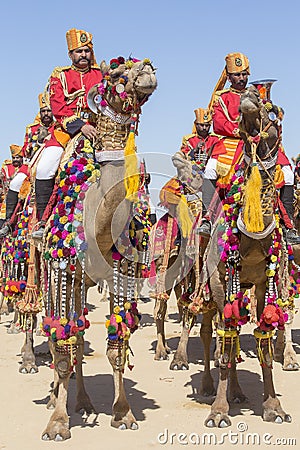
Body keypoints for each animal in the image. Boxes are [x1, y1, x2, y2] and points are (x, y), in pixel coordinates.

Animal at [34, 56, 157, 440]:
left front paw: (123, 413)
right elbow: (61, 348)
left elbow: (117, 344)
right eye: (116, 74)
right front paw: (57, 424)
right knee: (63, 335)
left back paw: (85, 402)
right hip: (57, 274)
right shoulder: (61, 267)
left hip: (83, 281)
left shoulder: (121, 270)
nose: (147, 71)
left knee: (80, 331)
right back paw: (55, 399)